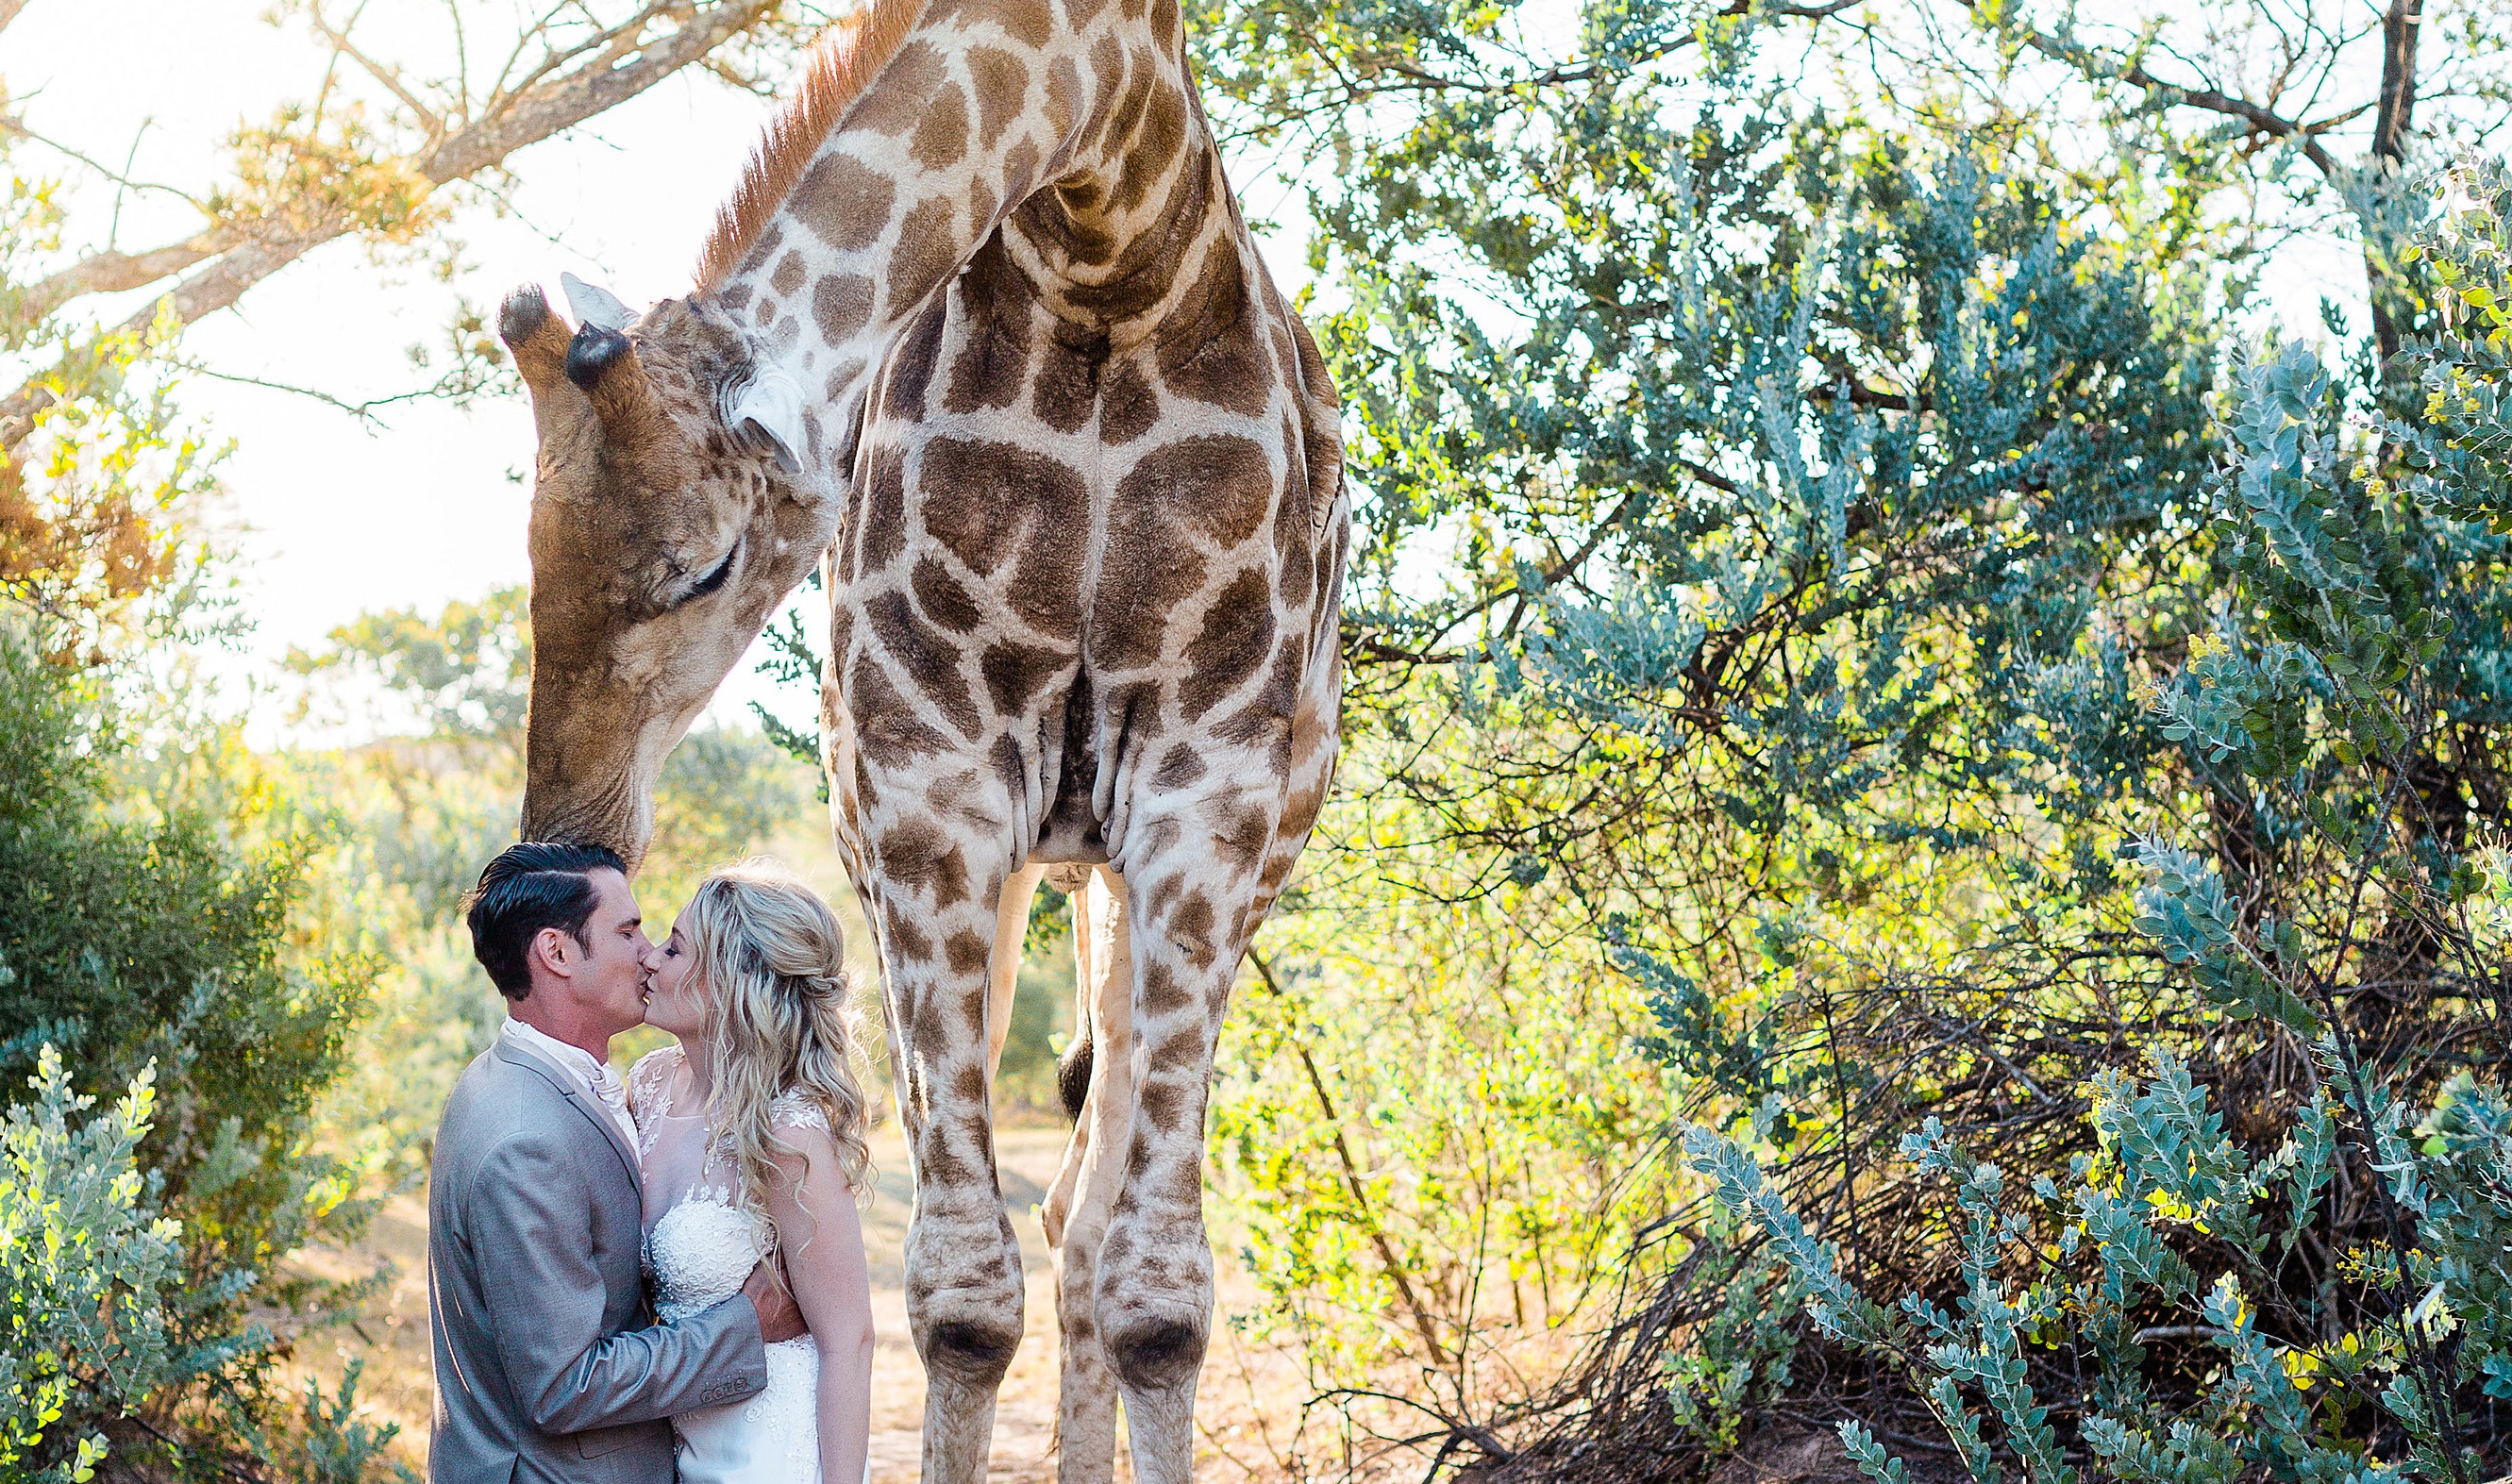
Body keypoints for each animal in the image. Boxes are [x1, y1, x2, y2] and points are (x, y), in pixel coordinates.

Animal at [494, 0, 1356, 1476]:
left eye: (705, 566)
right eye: (531, 558)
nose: (570, 825)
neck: (1114, 243)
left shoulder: (1207, 789)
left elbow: (1159, 1300)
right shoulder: (926, 783)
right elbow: (958, 1299)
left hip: (1182, 865)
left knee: (1091, 1224)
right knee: (1059, 1218)